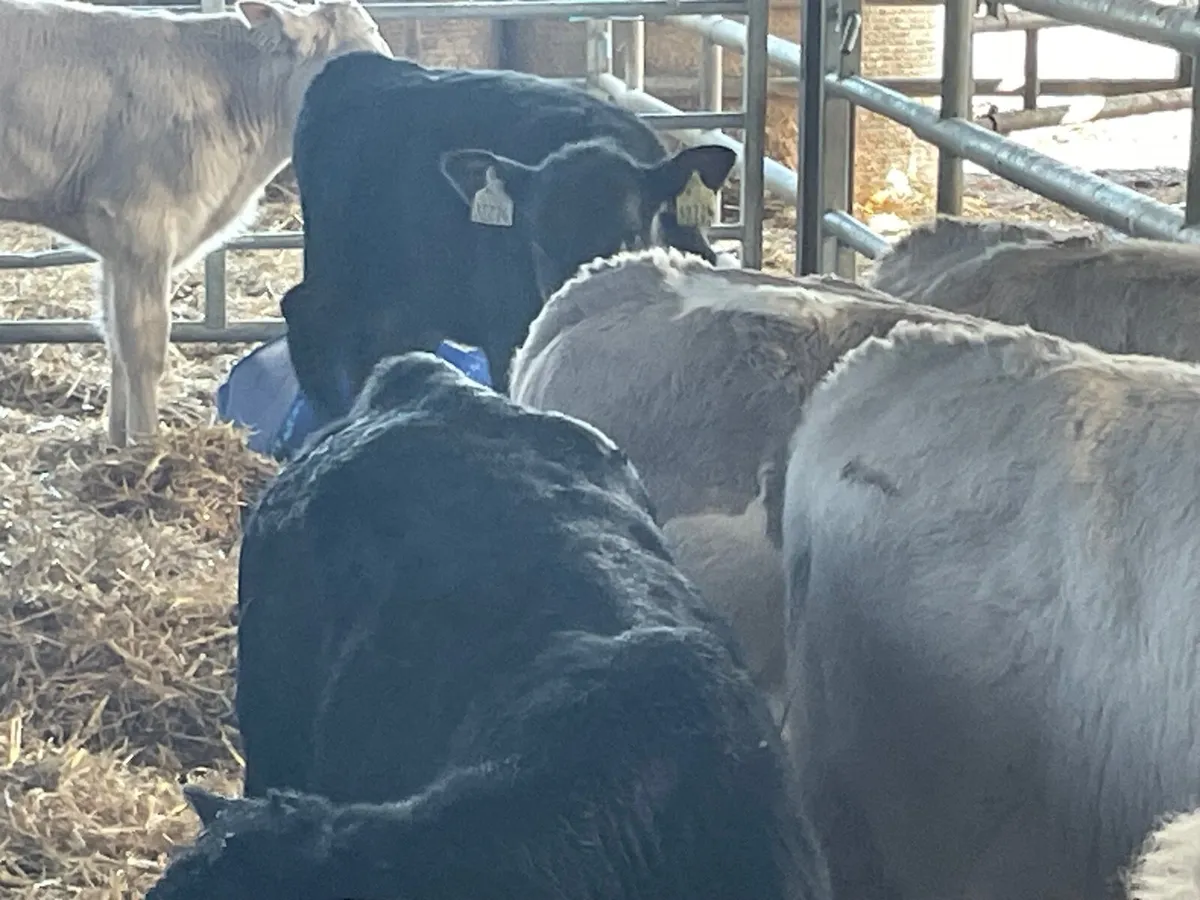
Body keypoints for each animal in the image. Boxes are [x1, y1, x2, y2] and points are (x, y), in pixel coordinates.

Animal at [0, 0, 390, 447]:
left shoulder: (115, 245)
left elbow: (114, 341)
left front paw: (116, 444)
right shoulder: (141, 228)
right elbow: (143, 349)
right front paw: (146, 446)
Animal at [281, 50, 738, 422]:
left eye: (629, 234)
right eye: (535, 240)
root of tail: (356, 65)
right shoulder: (506, 335)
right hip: (340, 277)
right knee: (303, 313)